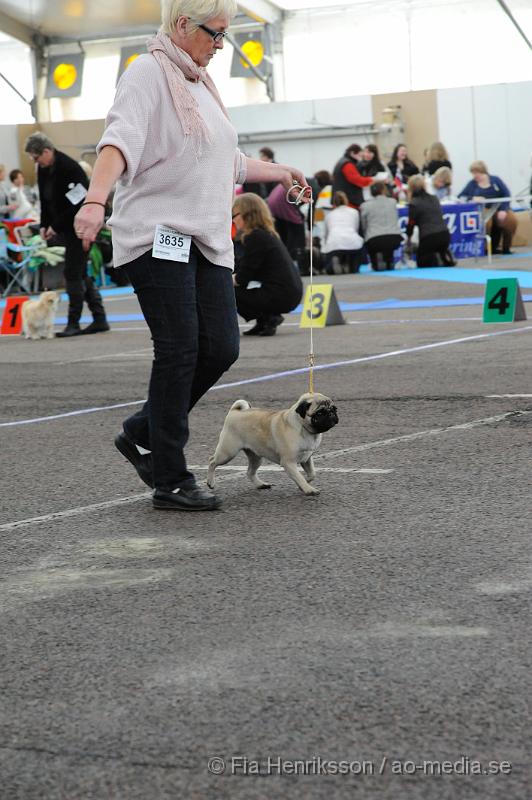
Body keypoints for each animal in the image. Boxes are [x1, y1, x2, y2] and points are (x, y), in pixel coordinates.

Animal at [206, 392, 338, 496]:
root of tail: (234, 412)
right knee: (212, 461)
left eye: (334, 409)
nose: (331, 414)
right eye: (320, 413)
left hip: (256, 457)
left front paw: (304, 483)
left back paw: (260, 484)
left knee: (250, 472)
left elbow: (312, 474)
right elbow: (299, 476)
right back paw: (210, 483)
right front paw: (308, 489)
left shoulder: (307, 458)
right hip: (228, 452)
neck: (305, 430)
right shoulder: (288, 462)